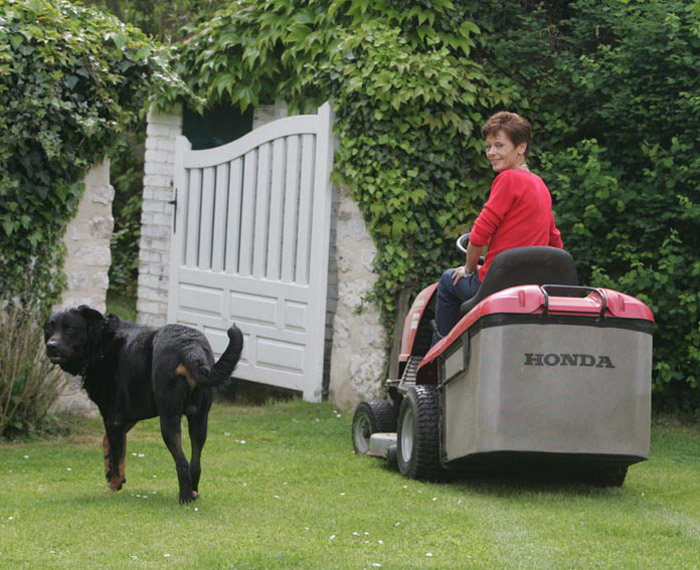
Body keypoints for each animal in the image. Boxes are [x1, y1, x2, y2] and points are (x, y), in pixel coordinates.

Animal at [45, 304, 243, 504]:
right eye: (49, 328)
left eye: (70, 328)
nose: (51, 346)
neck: (99, 342)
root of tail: (190, 346)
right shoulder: (129, 416)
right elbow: (113, 445)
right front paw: (110, 470)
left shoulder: (113, 418)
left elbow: (117, 453)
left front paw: (114, 485)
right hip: (200, 420)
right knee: (195, 464)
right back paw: (193, 494)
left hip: (169, 419)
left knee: (182, 463)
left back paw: (184, 499)